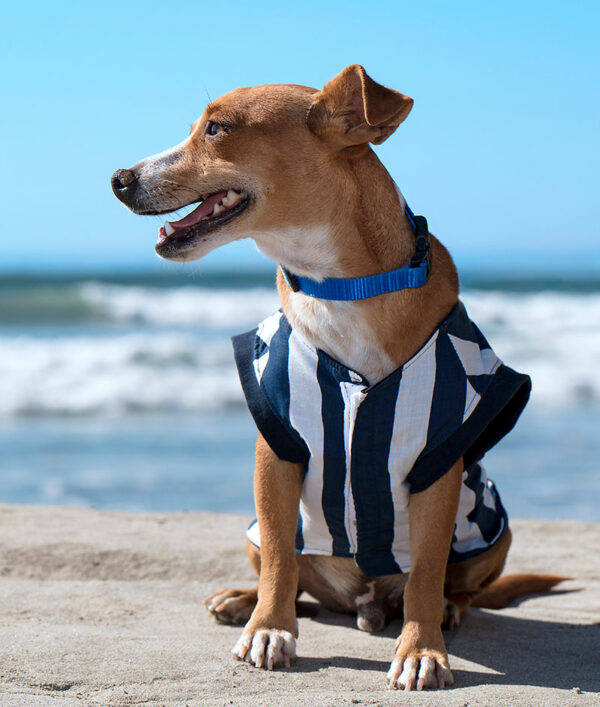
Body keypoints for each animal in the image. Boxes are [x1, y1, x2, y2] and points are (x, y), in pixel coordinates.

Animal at [113, 65, 568, 692]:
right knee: (292, 576)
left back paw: (448, 611)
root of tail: (363, 602)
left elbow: (427, 570)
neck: (341, 288)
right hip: (254, 530)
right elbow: (282, 558)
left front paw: (423, 649)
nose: (118, 178)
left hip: (492, 524)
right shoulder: (277, 450)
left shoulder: (439, 464)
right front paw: (268, 628)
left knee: (459, 589)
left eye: (216, 128)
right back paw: (243, 599)